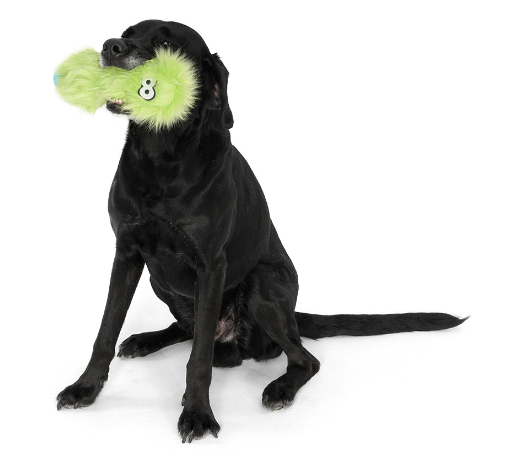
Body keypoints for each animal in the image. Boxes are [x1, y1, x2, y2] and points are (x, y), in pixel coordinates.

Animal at [56, 20, 467, 443]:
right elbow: (106, 331)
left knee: (302, 358)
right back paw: (144, 340)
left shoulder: (211, 266)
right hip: (161, 282)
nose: (111, 46)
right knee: (187, 329)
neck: (161, 158)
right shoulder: (126, 253)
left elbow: (198, 357)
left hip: (262, 287)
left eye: (167, 41)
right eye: (127, 32)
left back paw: (280, 388)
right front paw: (85, 388)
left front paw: (198, 413)